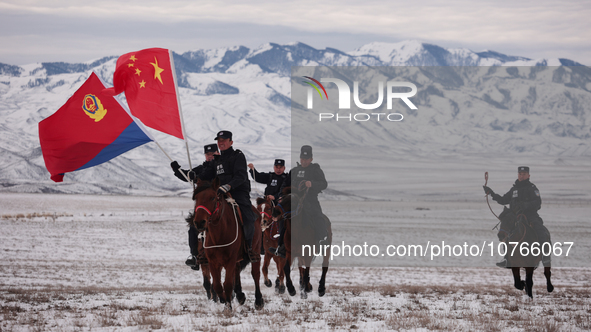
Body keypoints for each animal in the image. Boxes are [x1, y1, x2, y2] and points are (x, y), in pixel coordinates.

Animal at [192, 179, 264, 312]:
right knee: (237, 272)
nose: (199, 222)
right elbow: (217, 285)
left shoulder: (230, 260)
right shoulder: (213, 262)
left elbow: (228, 284)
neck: (219, 235)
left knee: (255, 274)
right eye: (196, 198)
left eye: (213, 197)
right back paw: (240, 296)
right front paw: (224, 300)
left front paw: (228, 307)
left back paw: (258, 301)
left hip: (255, 250)